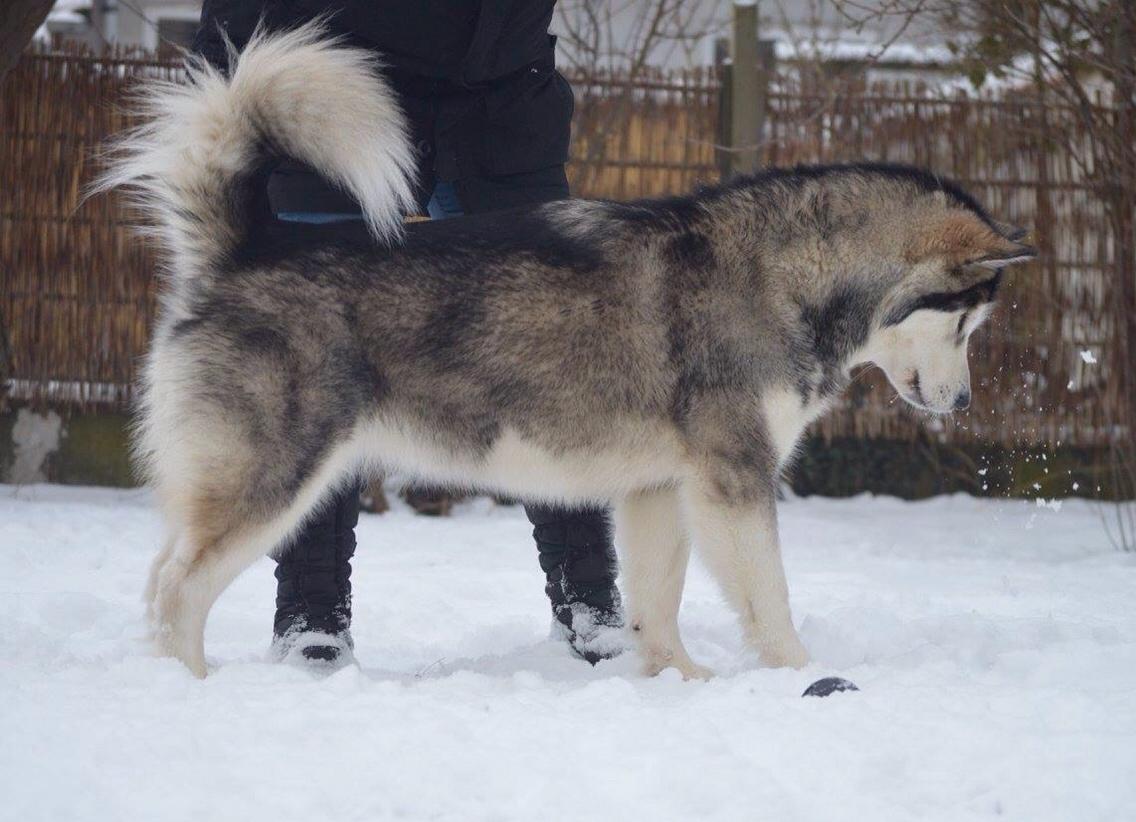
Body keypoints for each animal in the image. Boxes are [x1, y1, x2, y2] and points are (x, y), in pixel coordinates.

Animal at [99, 27, 1040, 681]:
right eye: (969, 324)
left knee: (157, 580)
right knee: (174, 589)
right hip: (276, 476)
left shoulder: (659, 487)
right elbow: (769, 600)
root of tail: (251, 246)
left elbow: (656, 600)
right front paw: (798, 679)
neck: (788, 274)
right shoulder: (734, 480)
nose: (962, 405)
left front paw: (677, 680)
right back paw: (189, 688)